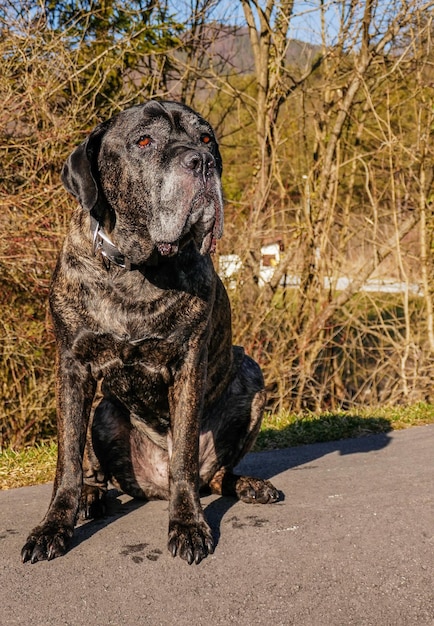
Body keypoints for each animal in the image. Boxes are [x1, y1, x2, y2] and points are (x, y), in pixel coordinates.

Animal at [21, 100, 278, 564]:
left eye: (207, 138)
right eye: (143, 141)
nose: (202, 161)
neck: (138, 271)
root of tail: (152, 485)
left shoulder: (189, 363)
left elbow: (185, 459)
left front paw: (189, 526)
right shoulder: (73, 366)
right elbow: (67, 460)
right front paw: (52, 527)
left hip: (251, 372)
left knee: (213, 474)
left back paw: (249, 485)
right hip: (104, 411)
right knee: (96, 471)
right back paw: (91, 497)